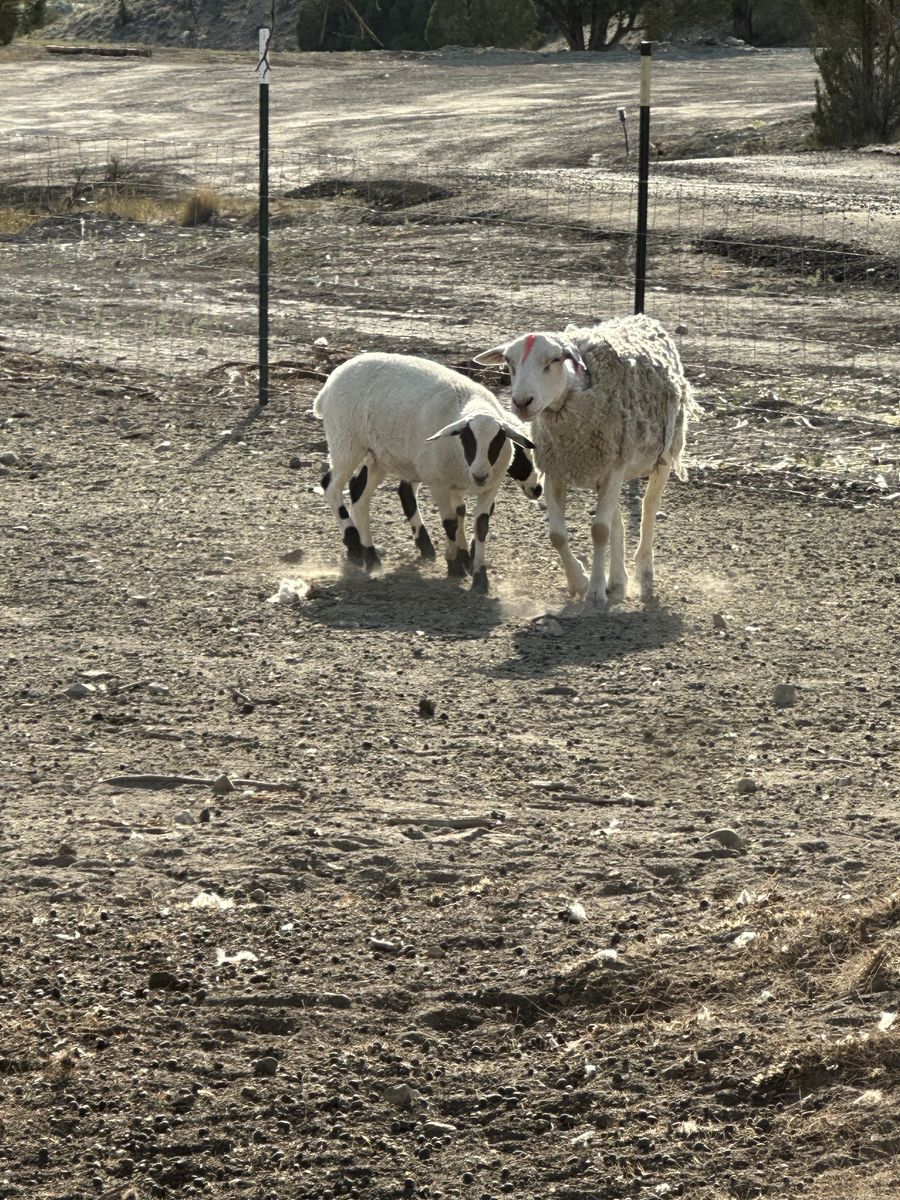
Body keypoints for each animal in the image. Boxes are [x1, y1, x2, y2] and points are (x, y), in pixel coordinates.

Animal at [312, 352, 542, 593]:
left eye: (499, 440)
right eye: (466, 439)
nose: (537, 489)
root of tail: (329, 384)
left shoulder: (487, 488)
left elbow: (479, 525)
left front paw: (478, 575)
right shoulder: (438, 483)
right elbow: (450, 523)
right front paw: (455, 566)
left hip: (379, 456)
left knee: (358, 494)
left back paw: (371, 558)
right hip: (346, 441)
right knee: (331, 486)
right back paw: (354, 544)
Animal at [474, 314, 700, 609]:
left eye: (554, 360)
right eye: (509, 363)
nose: (522, 402)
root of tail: (641, 318)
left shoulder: (613, 467)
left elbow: (600, 530)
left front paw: (594, 592)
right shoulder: (556, 470)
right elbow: (558, 536)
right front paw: (579, 581)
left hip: (662, 453)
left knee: (649, 508)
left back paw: (644, 571)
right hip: (608, 467)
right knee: (618, 518)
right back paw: (617, 580)